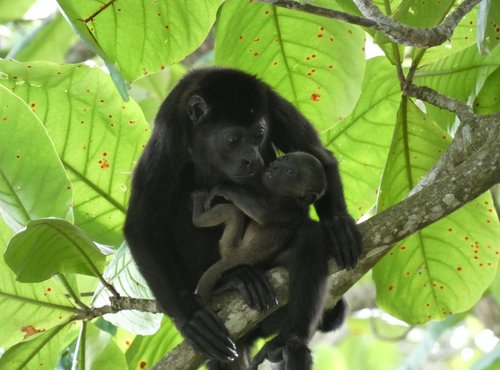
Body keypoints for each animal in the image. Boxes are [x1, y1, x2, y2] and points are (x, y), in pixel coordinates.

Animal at [123, 68, 362, 368]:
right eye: (233, 139)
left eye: (259, 134)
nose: (252, 158)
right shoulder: (168, 137)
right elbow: (142, 225)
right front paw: (190, 316)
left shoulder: (272, 103)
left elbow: (319, 156)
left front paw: (338, 223)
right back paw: (234, 279)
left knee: (309, 237)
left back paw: (290, 342)